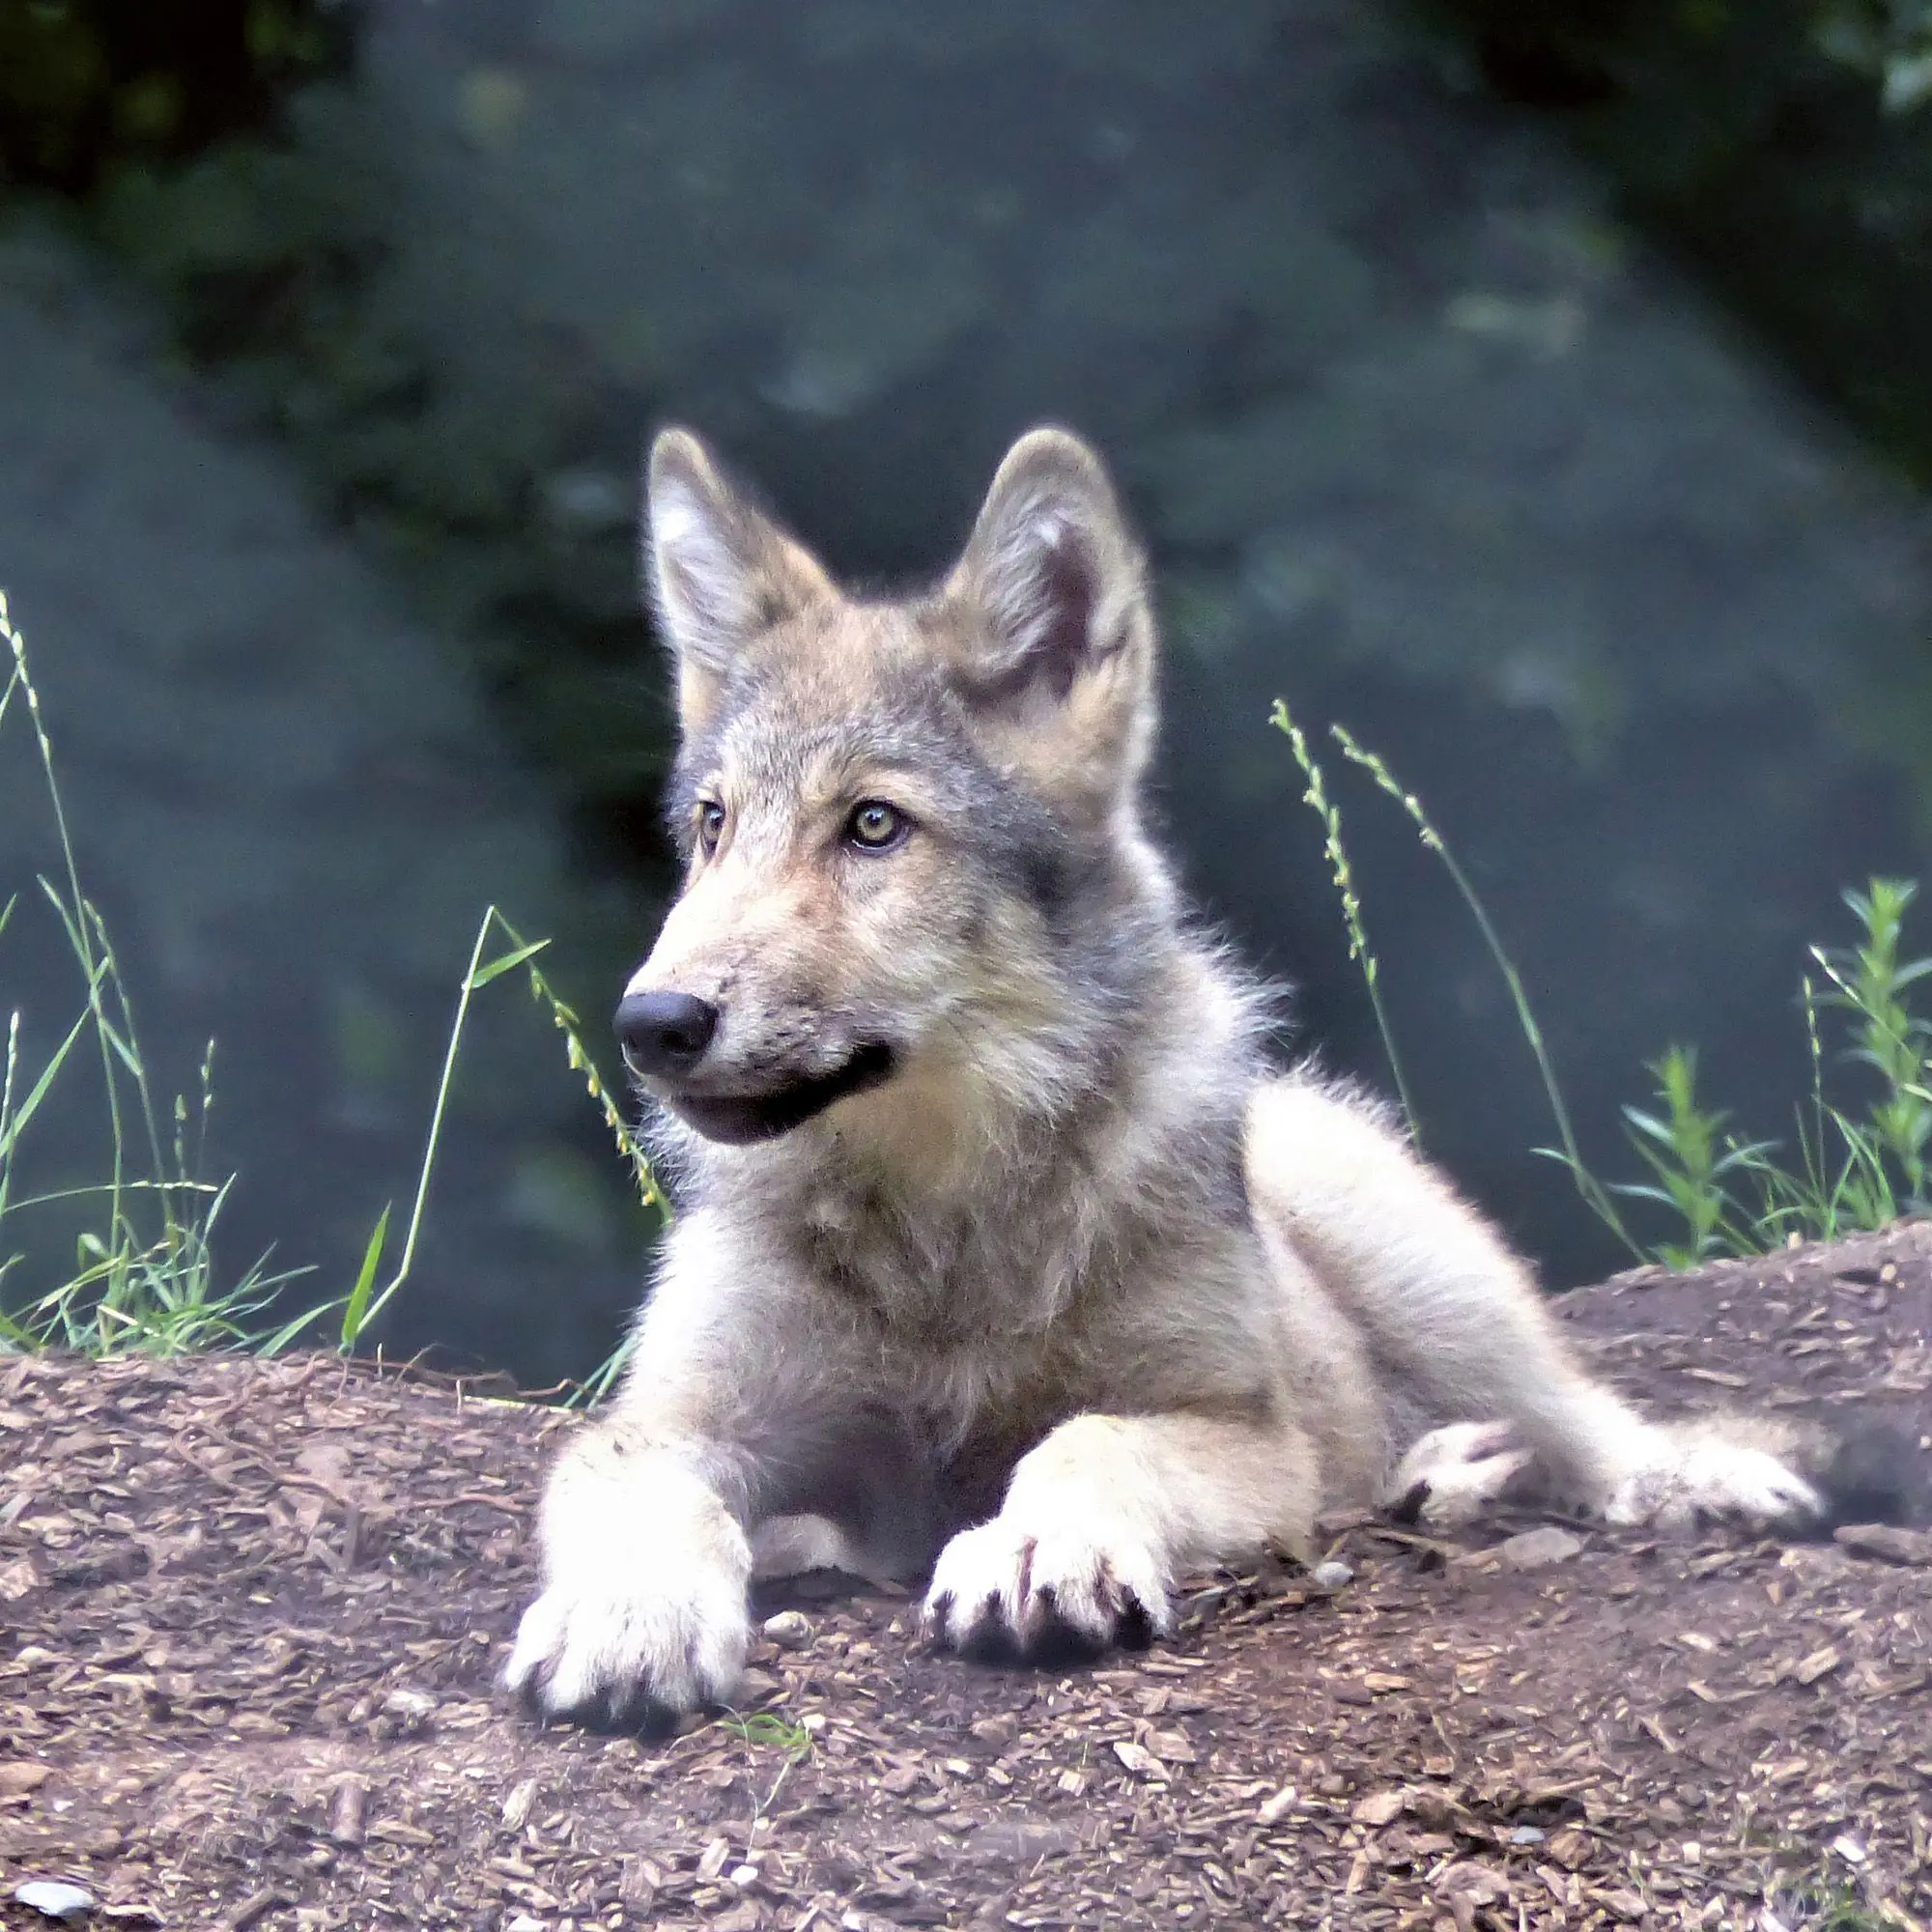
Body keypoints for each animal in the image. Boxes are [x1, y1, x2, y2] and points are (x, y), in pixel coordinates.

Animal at [504, 424, 1898, 1731]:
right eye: (714, 827)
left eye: (873, 826)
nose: (652, 1021)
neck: (945, 1224)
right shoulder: (674, 1422)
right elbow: (651, 1493)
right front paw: (627, 1621)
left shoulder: (1242, 1430)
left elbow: (1087, 1437)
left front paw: (1034, 1547)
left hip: (1410, 1250)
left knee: (1582, 1420)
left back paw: (1680, 1478)